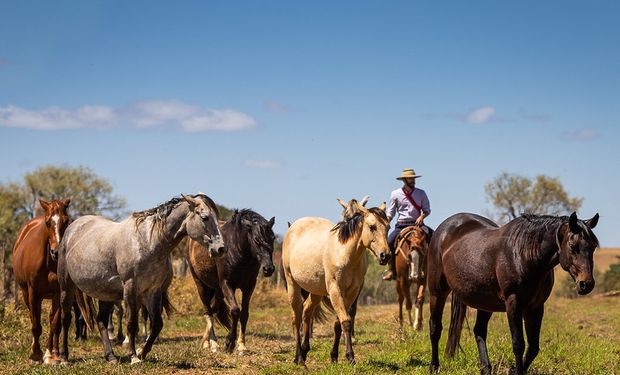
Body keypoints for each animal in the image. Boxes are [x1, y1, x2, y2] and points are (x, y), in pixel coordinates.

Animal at [12, 200, 72, 364]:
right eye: (47, 222)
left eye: (66, 221)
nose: (56, 252)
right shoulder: (33, 292)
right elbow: (36, 324)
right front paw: (35, 354)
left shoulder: (58, 292)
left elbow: (55, 323)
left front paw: (55, 355)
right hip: (27, 294)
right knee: (33, 317)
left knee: (51, 320)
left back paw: (49, 353)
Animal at [57, 194, 226, 364]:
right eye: (204, 217)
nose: (221, 249)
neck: (148, 241)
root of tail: (72, 228)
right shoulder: (130, 288)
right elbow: (132, 323)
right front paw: (133, 356)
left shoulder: (152, 291)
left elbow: (157, 324)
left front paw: (142, 352)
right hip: (66, 286)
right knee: (66, 318)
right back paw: (64, 357)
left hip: (105, 293)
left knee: (101, 321)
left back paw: (111, 357)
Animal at [186, 209, 276, 356]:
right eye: (256, 240)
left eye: (273, 238)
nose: (269, 269)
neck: (237, 250)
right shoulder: (227, 284)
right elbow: (235, 311)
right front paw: (229, 344)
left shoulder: (249, 286)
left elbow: (244, 314)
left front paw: (242, 346)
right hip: (201, 285)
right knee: (208, 311)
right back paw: (212, 344)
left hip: (217, 290)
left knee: (213, 309)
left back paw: (207, 341)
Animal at [284, 198, 390, 366]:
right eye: (372, 226)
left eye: (388, 227)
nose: (385, 255)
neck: (345, 253)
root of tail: (293, 228)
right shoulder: (335, 289)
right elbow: (345, 322)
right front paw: (350, 357)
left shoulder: (352, 292)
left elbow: (338, 324)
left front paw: (334, 356)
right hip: (292, 284)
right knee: (296, 318)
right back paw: (299, 358)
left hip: (316, 291)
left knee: (307, 312)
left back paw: (304, 351)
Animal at [428, 213, 600, 374]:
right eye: (573, 245)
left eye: (592, 247)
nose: (587, 284)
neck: (525, 255)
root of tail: (442, 230)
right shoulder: (513, 302)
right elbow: (518, 344)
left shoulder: (535, 307)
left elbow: (533, 347)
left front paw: (513, 370)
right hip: (437, 292)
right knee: (435, 328)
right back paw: (434, 366)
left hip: (485, 303)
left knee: (479, 331)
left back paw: (486, 369)